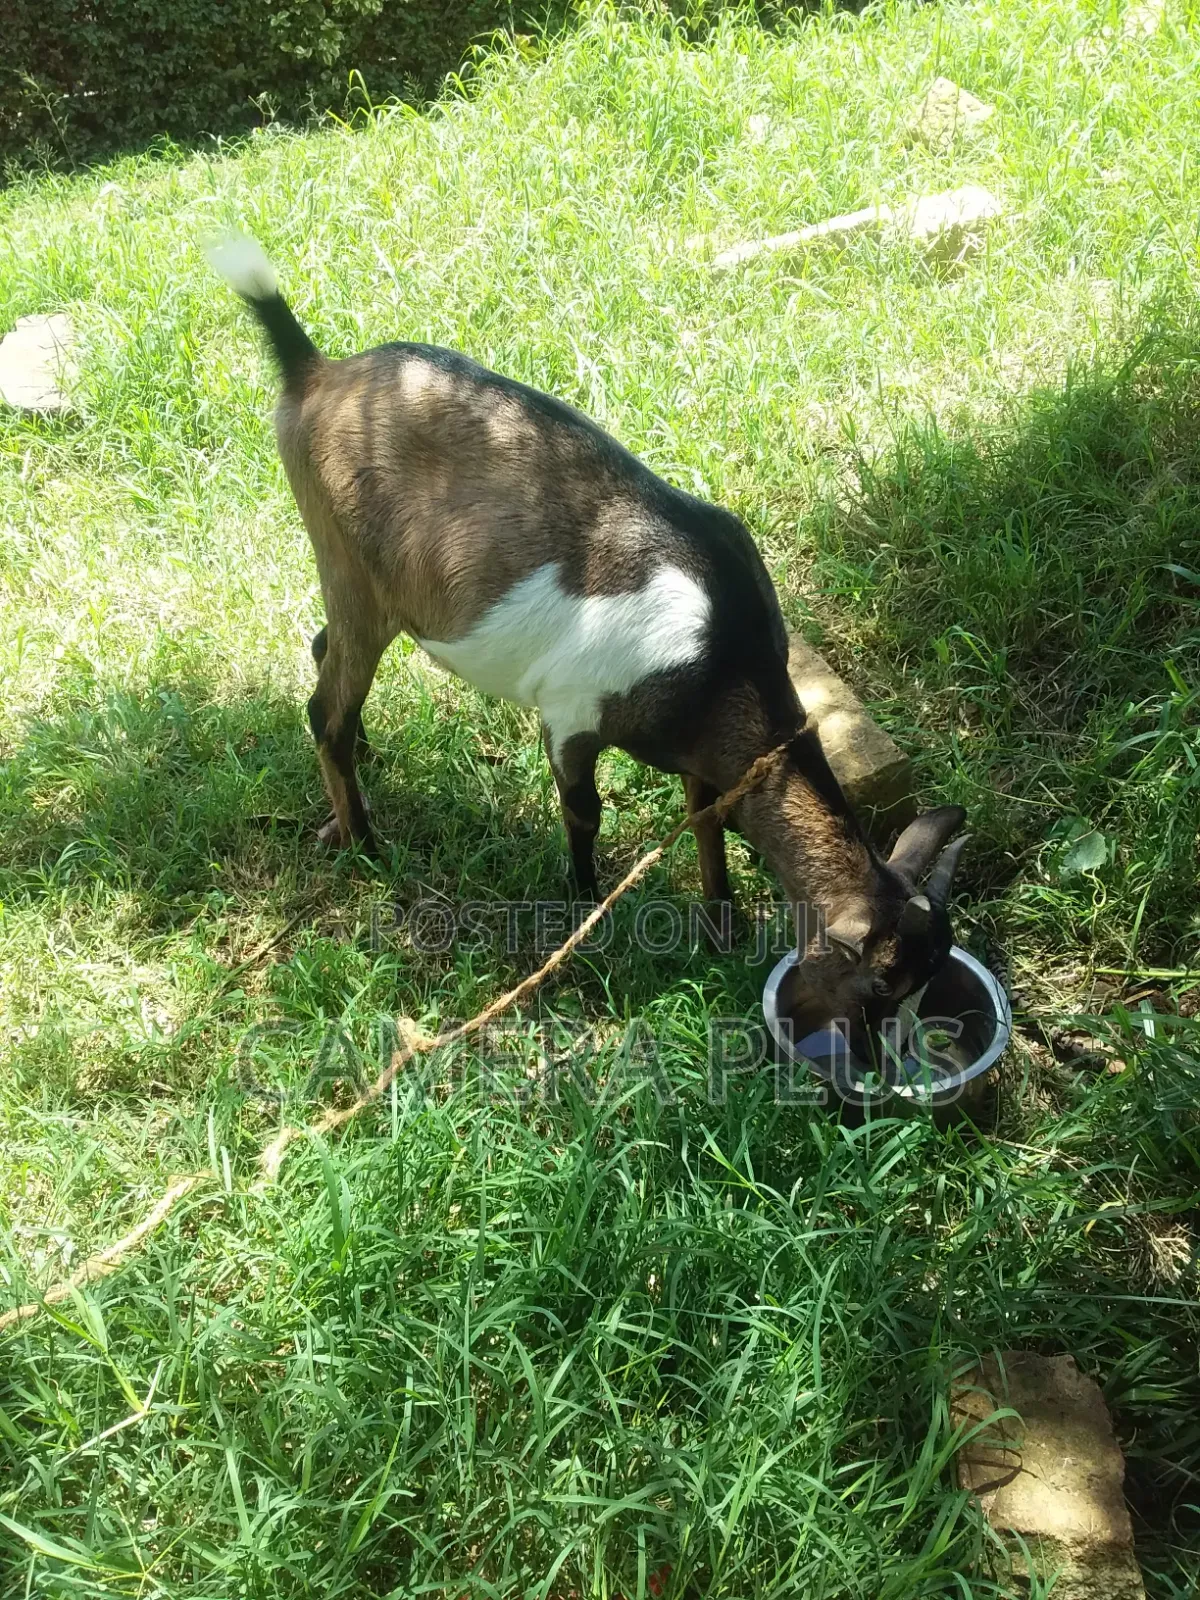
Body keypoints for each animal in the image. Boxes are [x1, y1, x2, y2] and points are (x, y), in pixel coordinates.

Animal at [207, 234, 968, 1020]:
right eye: (879, 987)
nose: (882, 1051)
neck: (719, 657)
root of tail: (318, 371)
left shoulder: (702, 752)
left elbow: (706, 819)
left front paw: (720, 927)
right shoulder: (571, 712)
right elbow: (584, 811)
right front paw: (584, 909)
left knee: (324, 649)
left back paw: (362, 772)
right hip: (352, 569)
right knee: (323, 707)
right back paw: (364, 842)